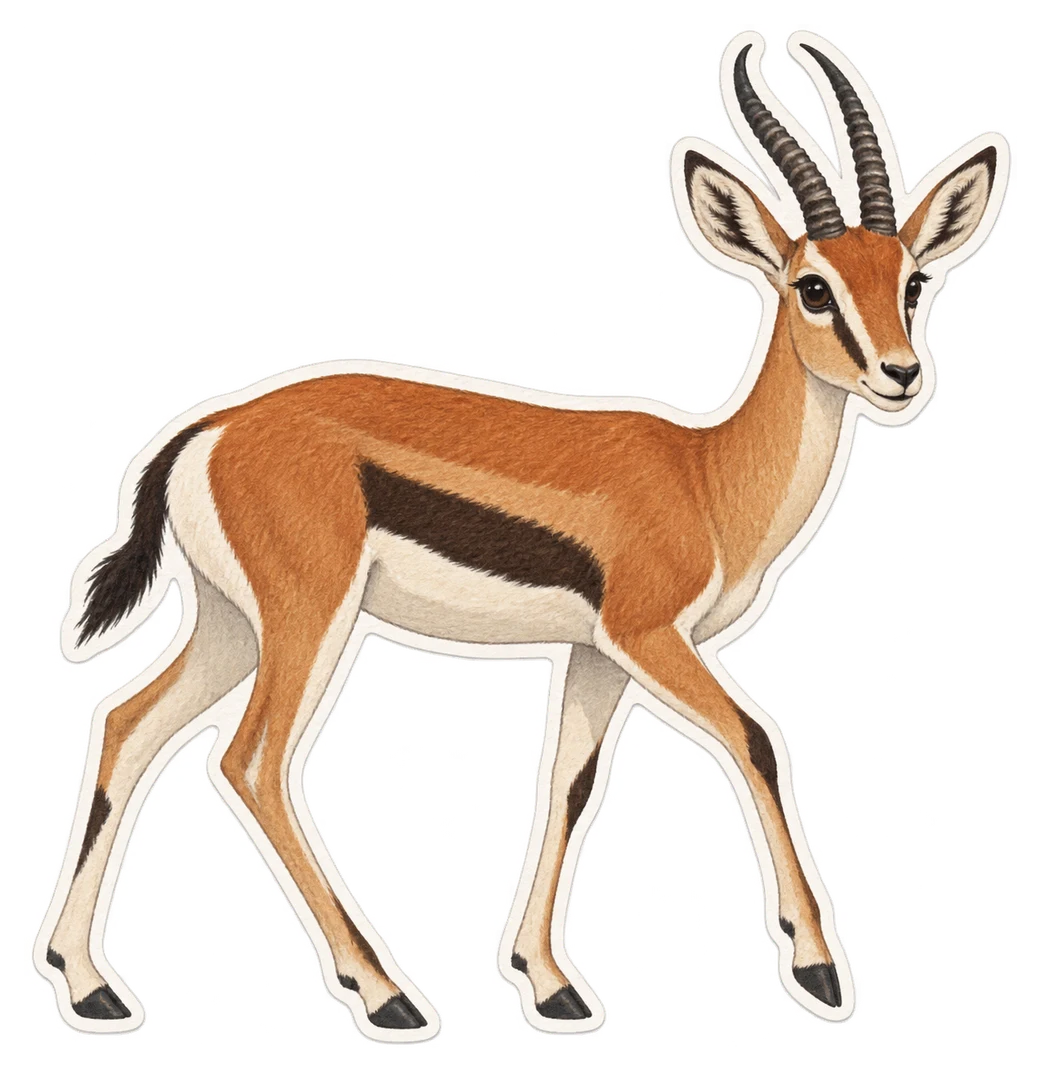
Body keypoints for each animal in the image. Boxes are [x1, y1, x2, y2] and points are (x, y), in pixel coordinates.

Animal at [35, 31, 1006, 1041]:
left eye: (910, 280)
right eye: (813, 286)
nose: (900, 375)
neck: (703, 478)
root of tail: (207, 430)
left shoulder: (597, 654)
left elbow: (569, 782)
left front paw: (548, 985)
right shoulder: (648, 634)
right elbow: (756, 738)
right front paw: (817, 971)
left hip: (233, 625)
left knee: (127, 724)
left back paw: (90, 983)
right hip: (307, 620)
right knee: (253, 762)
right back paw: (385, 995)